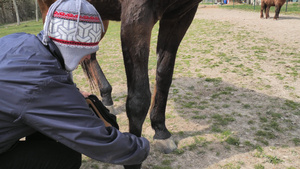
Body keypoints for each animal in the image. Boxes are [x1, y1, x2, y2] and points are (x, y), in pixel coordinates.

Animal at [38, 0, 202, 168]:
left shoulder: (179, 16)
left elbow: (164, 77)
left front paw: (161, 131)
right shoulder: (135, 16)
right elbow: (139, 98)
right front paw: (134, 158)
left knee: (90, 56)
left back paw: (106, 98)